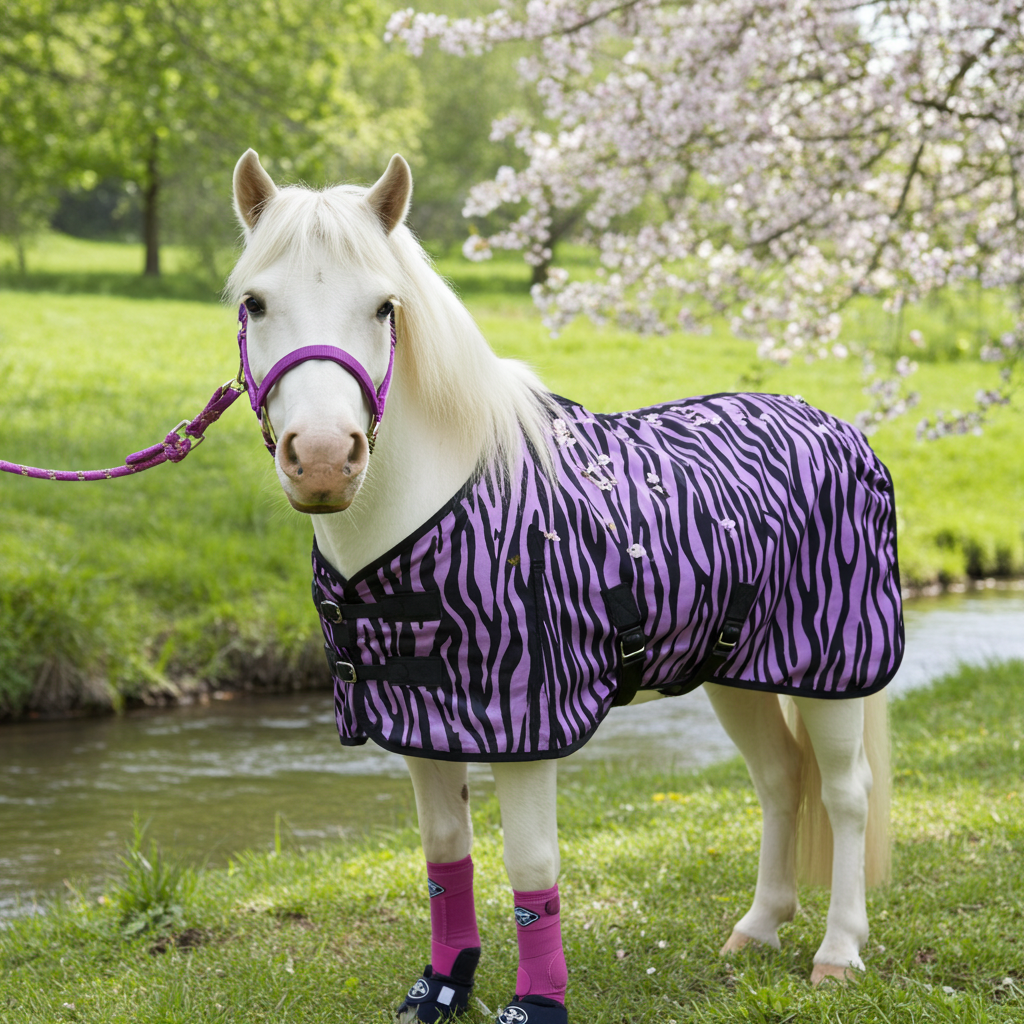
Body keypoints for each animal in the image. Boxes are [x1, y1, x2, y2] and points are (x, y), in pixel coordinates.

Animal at [227, 149, 901, 1024]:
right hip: (738, 672)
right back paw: (757, 930)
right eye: (255, 301)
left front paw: (537, 1003)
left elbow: (532, 865)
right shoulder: (423, 720)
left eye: (384, 306)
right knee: (782, 781)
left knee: (847, 794)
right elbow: (446, 855)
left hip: (835, 667)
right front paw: (443, 987)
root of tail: (838, 428)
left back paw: (839, 952)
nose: (320, 460)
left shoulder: (525, 722)